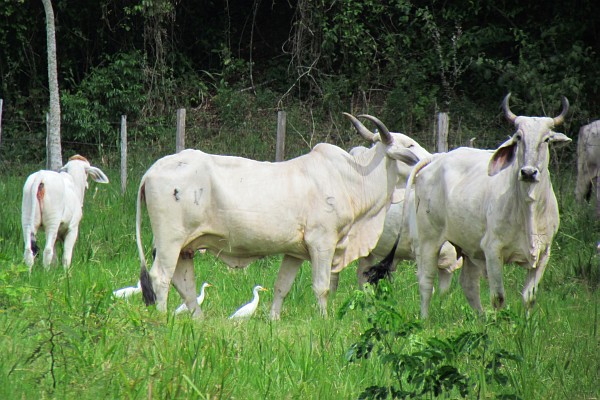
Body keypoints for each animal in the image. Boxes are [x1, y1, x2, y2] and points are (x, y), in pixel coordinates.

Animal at [408, 94, 568, 318]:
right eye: (518, 137)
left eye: (546, 139)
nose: (528, 172)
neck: (528, 209)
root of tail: (437, 157)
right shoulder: (493, 250)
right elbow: (498, 297)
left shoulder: (544, 252)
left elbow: (529, 297)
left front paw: (527, 322)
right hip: (429, 239)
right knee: (426, 282)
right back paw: (425, 319)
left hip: (467, 246)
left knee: (468, 285)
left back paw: (481, 319)